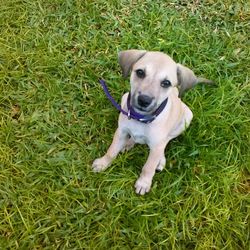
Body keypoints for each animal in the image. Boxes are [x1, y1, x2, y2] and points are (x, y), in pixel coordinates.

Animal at [91, 49, 211, 195]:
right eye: (140, 72)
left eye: (166, 83)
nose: (144, 100)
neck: (141, 118)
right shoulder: (120, 132)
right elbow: (111, 151)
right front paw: (102, 163)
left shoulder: (156, 146)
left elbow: (148, 167)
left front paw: (144, 183)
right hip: (124, 97)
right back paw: (128, 143)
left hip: (187, 117)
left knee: (166, 141)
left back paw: (160, 160)